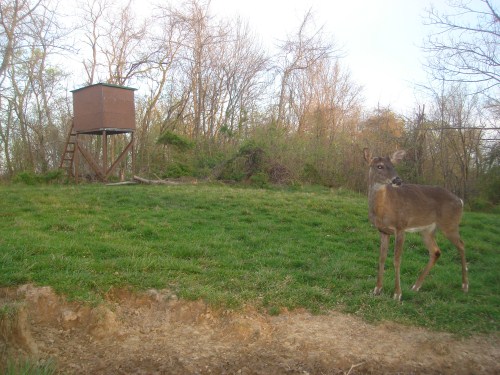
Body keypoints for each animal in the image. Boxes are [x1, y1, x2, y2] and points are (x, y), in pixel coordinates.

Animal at [364, 148, 468, 302]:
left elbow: (397, 259)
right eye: (380, 166)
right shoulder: (383, 231)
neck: (382, 210)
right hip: (427, 230)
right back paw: (415, 286)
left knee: (461, 245)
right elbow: (381, 258)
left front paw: (397, 294)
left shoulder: (401, 227)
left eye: (393, 165)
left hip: (450, 224)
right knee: (436, 251)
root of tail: (460, 201)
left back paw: (465, 285)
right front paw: (377, 289)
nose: (398, 180)